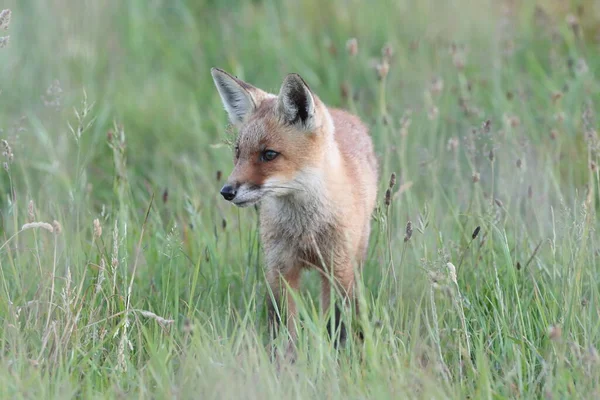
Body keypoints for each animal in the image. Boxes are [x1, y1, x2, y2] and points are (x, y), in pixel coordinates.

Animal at [211, 67, 378, 352]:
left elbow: (337, 325)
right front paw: (285, 360)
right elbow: (282, 329)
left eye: (269, 154)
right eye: (238, 152)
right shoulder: (279, 268)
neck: (305, 230)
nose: (227, 192)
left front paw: (337, 357)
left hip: (355, 258)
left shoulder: (337, 268)